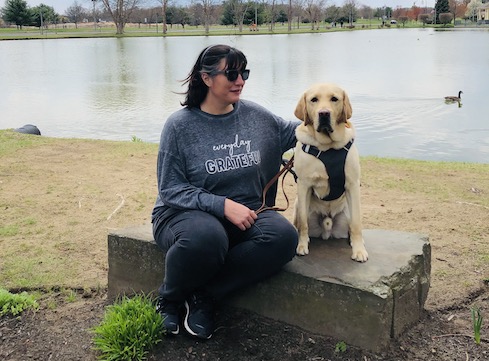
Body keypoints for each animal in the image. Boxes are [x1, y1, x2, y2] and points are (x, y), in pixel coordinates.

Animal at [292, 82, 368, 260]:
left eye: (334, 99)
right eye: (314, 100)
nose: (324, 113)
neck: (328, 147)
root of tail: (327, 228)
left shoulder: (353, 184)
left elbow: (357, 224)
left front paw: (359, 250)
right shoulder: (304, 185)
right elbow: (303, 224)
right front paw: (301, 245)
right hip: (297, 204)